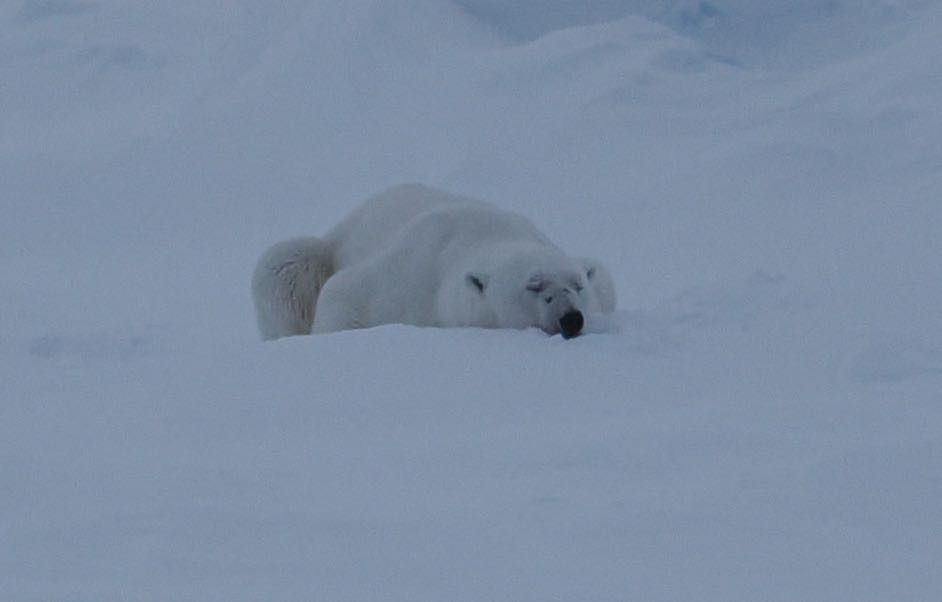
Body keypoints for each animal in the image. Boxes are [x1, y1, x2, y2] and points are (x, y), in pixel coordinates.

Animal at [252, 184, 616, 340]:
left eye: (577, 285)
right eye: (534, 286)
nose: (571, 318)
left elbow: (603, 279)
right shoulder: (406, 275)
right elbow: (343, 292)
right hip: (321, 251)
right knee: (280, 265)